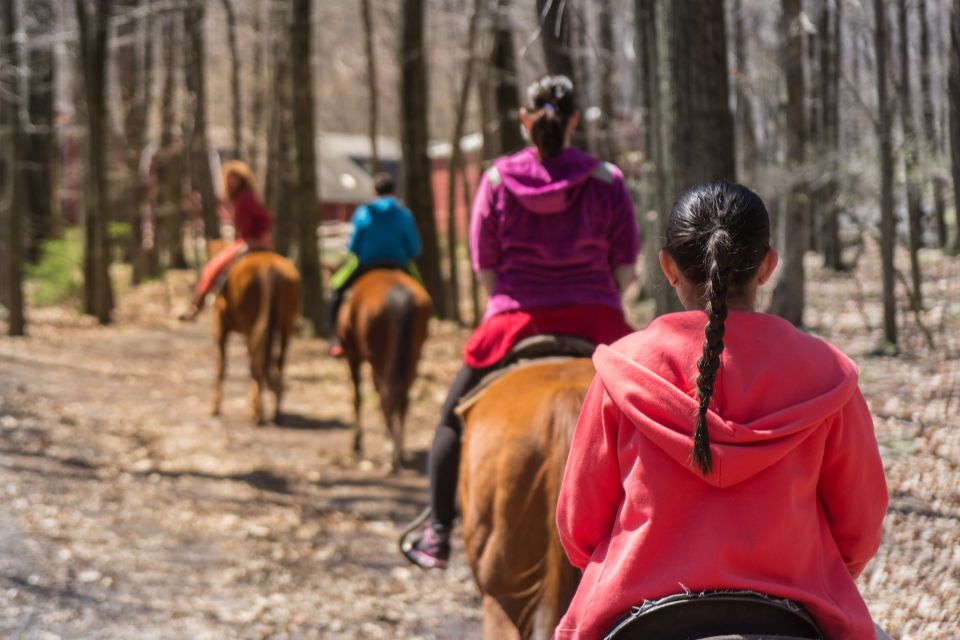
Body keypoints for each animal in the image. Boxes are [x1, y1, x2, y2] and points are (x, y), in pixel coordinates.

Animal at [212, 250, 302, 424]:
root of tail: (268, 267)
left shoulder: (220, 326)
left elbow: (221, 366)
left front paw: (215, 407)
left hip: (251, 323)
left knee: (256, 364)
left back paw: (258, 412)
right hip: (286, 324)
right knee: (278, 362)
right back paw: (275, 409)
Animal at [336, 268, 430, 472]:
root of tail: (399, 294)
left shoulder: (352, 355)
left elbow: (356, 398)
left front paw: (357, 446)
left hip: (378, 357)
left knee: (386, 395)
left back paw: (390, 453)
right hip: (413, 355)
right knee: (403, 399)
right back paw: (398, 450)